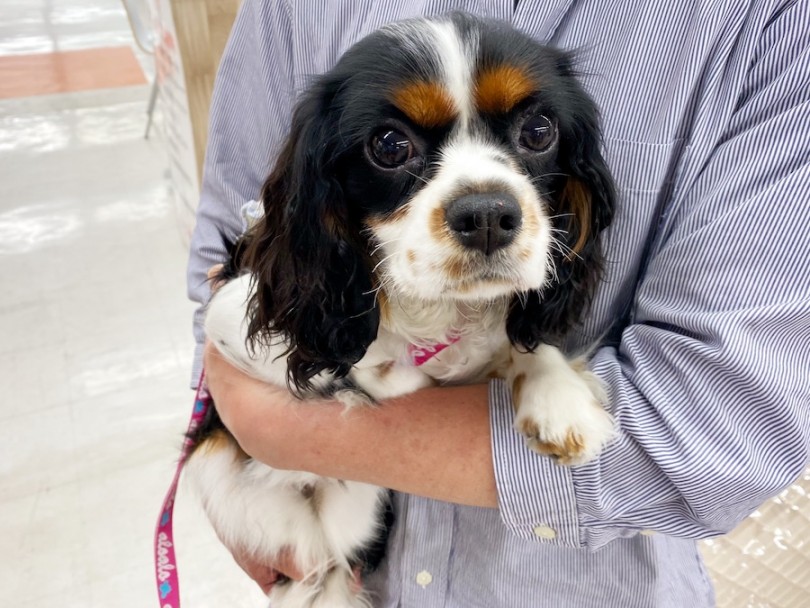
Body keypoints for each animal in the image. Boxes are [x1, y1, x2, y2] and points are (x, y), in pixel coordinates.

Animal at [183, 10, 612, 608]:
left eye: (538, 131)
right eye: (389, 145)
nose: (487, 214)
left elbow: (516, 342)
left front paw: (560, 396)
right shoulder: (232, 311)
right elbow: (370, 361)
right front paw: (390, 364)